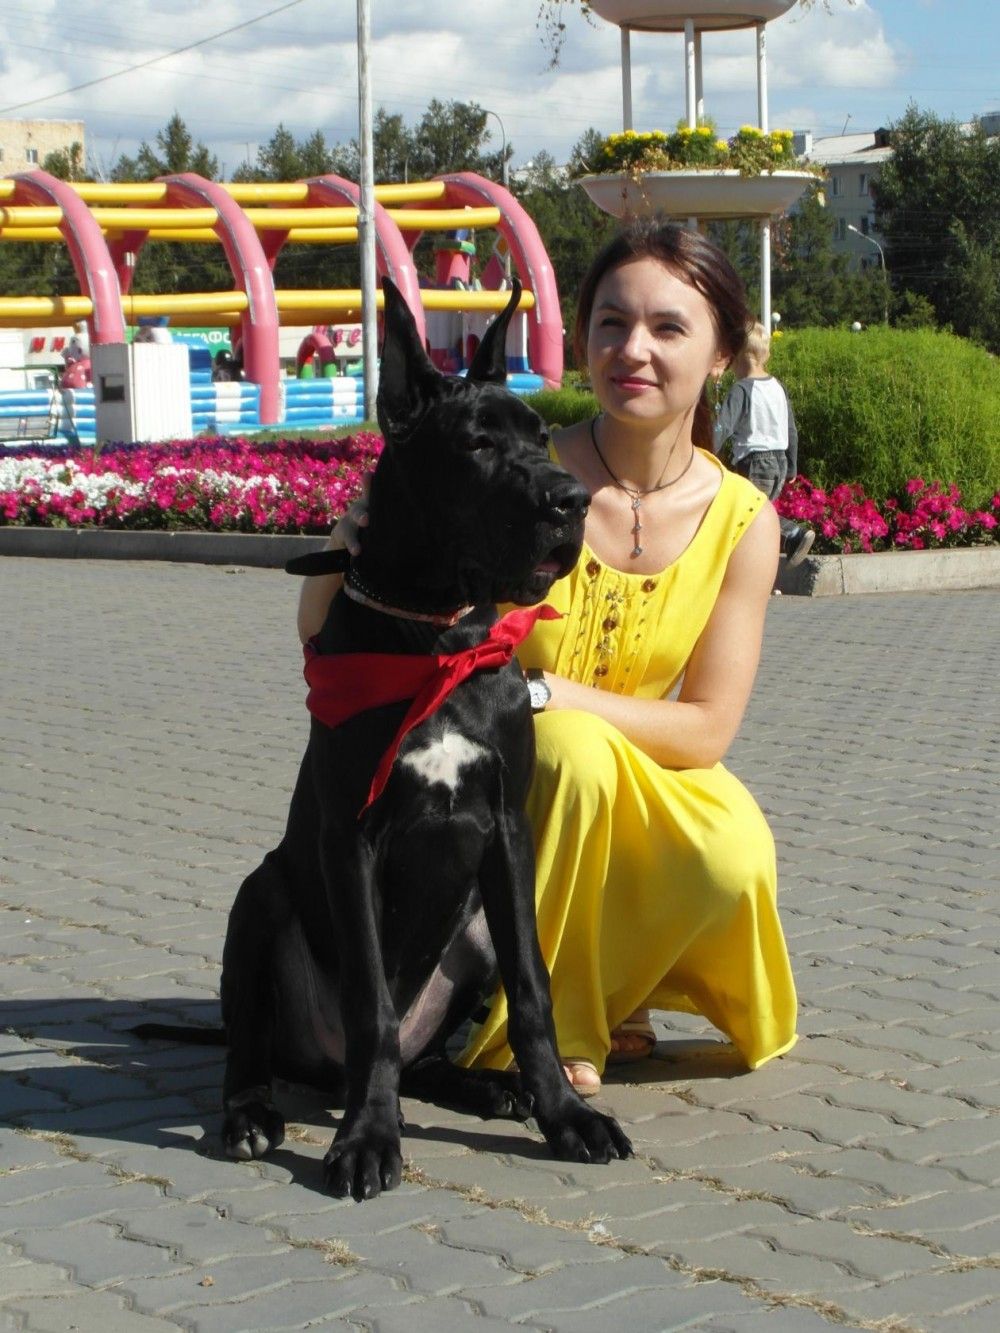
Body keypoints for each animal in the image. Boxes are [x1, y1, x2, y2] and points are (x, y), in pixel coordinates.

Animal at [136, 278, 631, 1201]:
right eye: (477, 443)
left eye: (541, 437)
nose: (571, 501)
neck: (436, 635)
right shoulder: (351, 839)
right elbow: (369, 1002)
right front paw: (368, 1138)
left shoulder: (507, 833)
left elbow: (534, 986)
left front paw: (566, 1114)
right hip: (261, 897)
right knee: (256, 1043)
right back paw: (254, 1115)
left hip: (472, 925)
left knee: (426, 1051)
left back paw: (489, 1086)